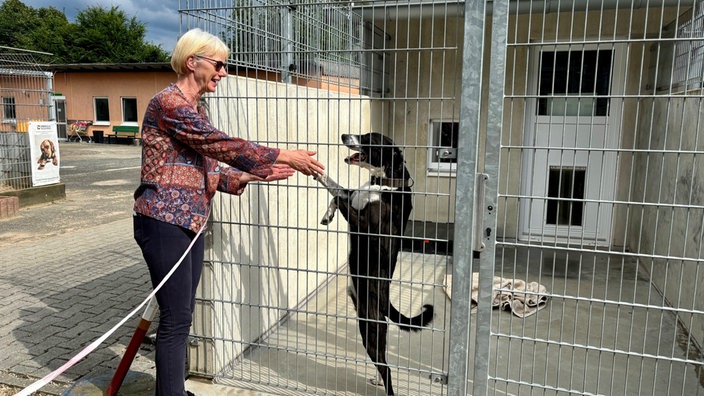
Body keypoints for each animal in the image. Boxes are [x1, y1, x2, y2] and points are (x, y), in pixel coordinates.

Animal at [318, 134, 434, 396]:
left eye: (369, 138)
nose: (344, 135)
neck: (383, 182)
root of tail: (385, 301)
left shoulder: (365, 224)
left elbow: (338, 197)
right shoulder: (352, 195)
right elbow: (336, 190)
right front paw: (326, 212)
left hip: (370, 329)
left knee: (387, 368)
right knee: (383, 363)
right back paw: (378, 380)